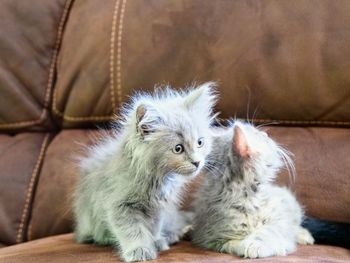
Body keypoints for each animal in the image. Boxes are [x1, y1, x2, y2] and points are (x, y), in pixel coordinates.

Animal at [73, 82, 216, 262]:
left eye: (200, 143)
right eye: (178, 148)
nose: (197, 162)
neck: (157, 178)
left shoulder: (158, 208)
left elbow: (153, 227)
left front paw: (155, 242)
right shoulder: (120, 205)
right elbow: (133, 230)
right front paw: (139, 250)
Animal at [191, 121, 314, 260]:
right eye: (260, 135)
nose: (267, 135)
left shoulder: (280, 219)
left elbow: (271, 230)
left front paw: (255, 244)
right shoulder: (210, 235)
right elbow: (229, 243)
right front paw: (244, 245)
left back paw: (304, 236)